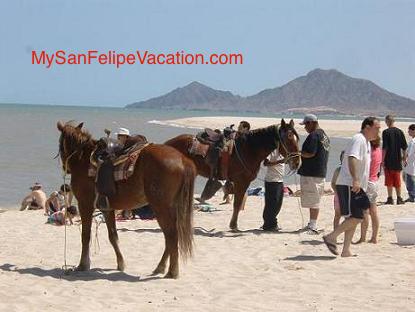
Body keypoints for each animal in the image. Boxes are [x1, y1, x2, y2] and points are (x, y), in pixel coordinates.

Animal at [56, 121, 197, 278]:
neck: (85, 160)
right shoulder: (107, 208)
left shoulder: (85, 204)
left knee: (171, 235)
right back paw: (160, 267)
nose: (65, 168)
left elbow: (85, 235)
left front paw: (83, 265)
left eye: (60, 143)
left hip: (160, 207)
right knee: (170, 236)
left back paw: (172, 271)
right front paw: (121, 264)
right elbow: (113, 236)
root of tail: (183, 160)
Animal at [166, 118, 302, 230]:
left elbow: (239, 202)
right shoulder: (241, 181)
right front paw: (233, 225)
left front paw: (234, 225)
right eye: (289, 137)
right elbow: (237, 203)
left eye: (297, 138)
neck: (248, 149)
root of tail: (168, 144)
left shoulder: (243, 182)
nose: (297, 162)